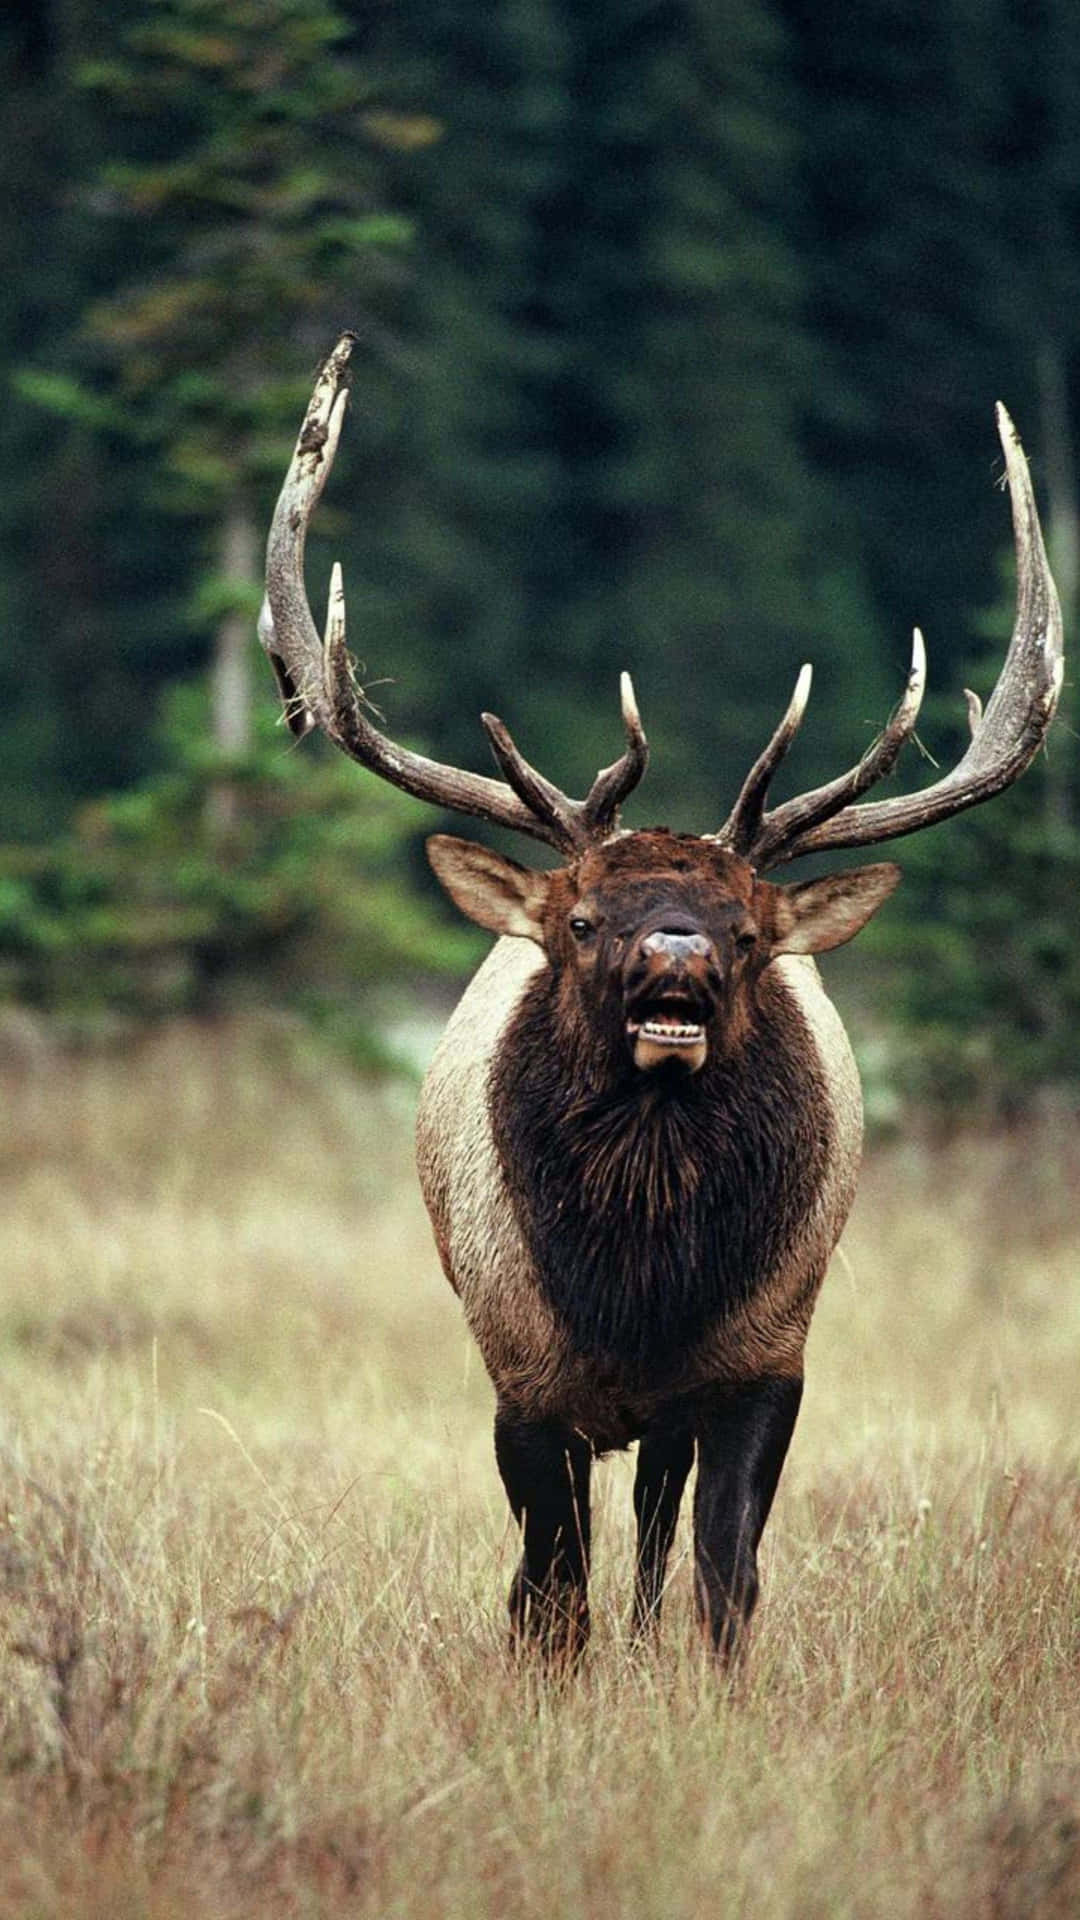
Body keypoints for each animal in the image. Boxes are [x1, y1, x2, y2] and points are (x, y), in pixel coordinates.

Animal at [259, 333, 1063, 1665]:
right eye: (583, 921)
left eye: (748, 932)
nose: (675, 958)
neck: (639, 1291)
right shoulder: (521, 1370)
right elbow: (551, 1585)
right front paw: (554, 1680)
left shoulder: (767, 1355)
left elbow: (726, 1574)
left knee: (652, 1517)